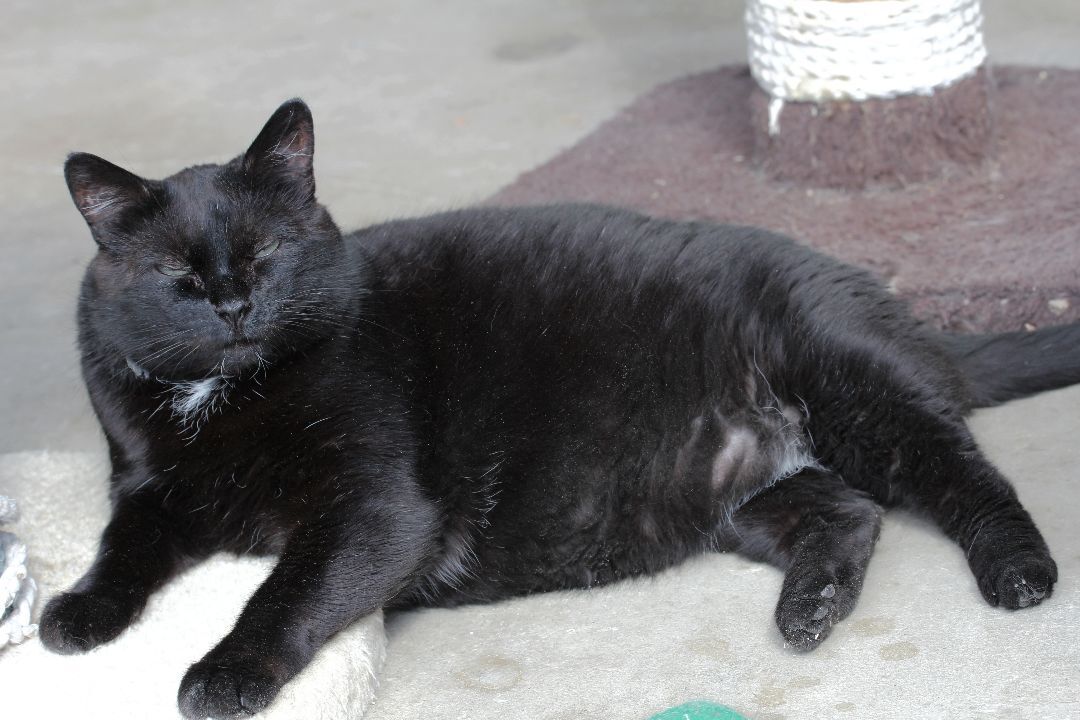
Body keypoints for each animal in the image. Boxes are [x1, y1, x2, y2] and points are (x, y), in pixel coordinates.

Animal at [38, 98, 1075, 716]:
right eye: (177, 277)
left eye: (268, 255)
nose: (232, 303)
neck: (224, 400)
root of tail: (893, 304)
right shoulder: (150, 487)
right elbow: (121, 547)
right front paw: (74, 617)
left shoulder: (374, 506)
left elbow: (285, 590)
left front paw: (224, 673)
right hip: (741, 490)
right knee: (849, 511)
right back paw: (808, 612)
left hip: (856, 389)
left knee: (967, 478)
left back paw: (1018, 572)